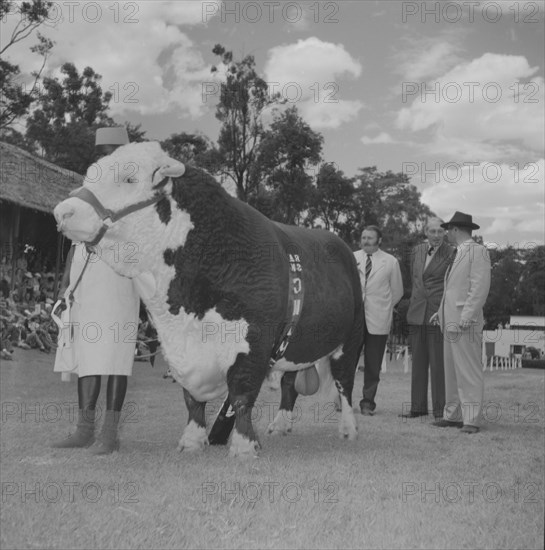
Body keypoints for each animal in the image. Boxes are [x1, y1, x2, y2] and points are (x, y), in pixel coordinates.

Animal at [53, 141, 364, 458]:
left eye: (129, 179)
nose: (62, 211)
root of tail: (340, 244)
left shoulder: (252, 342)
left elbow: (241, 395)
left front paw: (243, 446)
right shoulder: (180, 349)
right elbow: (192, 399)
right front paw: (192, 440)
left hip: (351, 339)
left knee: (345, 384)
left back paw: (349, 429)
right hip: (297, 342)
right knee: (290, 383)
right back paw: (280, 425)